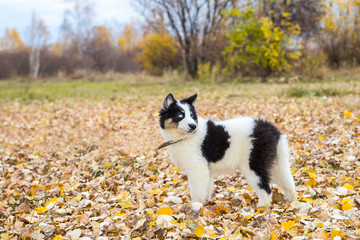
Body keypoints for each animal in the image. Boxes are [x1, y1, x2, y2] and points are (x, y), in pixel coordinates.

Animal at [159, 94, 296, 212]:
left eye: (192, 115)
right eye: (180, 115)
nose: (193, 126)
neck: (185, 137)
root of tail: (273, 130)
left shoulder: (197, 168)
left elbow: (196, 191)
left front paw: (196, 206)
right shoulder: (206, 171)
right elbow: (206, 189)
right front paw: (205, 205)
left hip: (254, 164)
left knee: (266, 189)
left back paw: (260, 209)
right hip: (274, 164)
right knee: (288, 184)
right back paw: (292, 203)